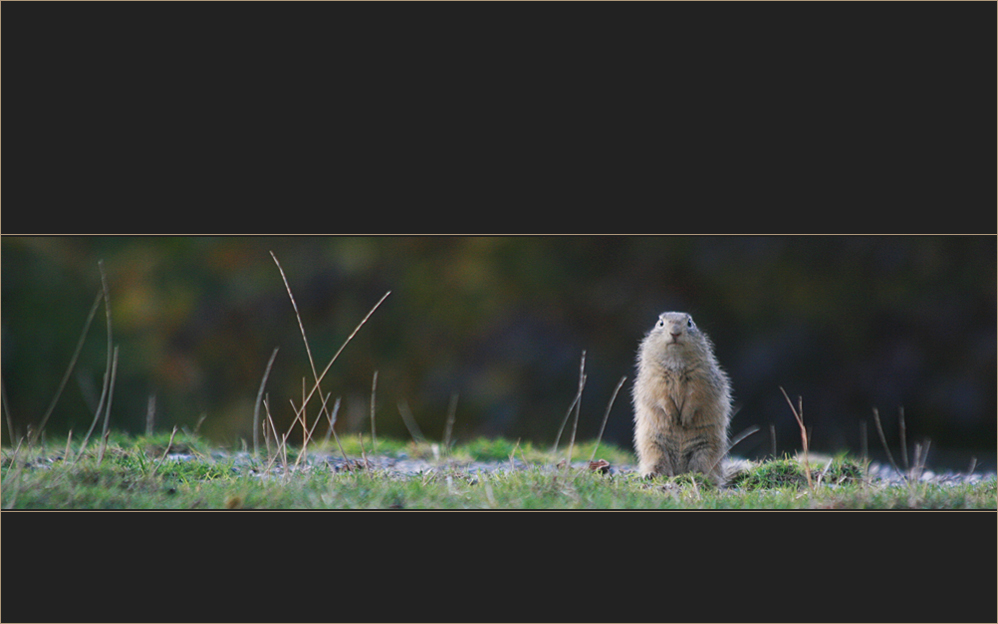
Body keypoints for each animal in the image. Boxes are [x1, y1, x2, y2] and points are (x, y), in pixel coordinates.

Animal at [632, 314, 736, 486]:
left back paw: (702, 477)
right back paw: (651, 474)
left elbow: (695, 398)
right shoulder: (656, 379)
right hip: (652, 445)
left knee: (705, 468)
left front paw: (685, 418)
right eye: (661, 323)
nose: (675, 333)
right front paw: (673, 416)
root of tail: (679, 471)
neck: (676, 362)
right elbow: (661, 396)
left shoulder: (701, 379)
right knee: (659, 465)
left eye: (689, 322)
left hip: (707, 448)